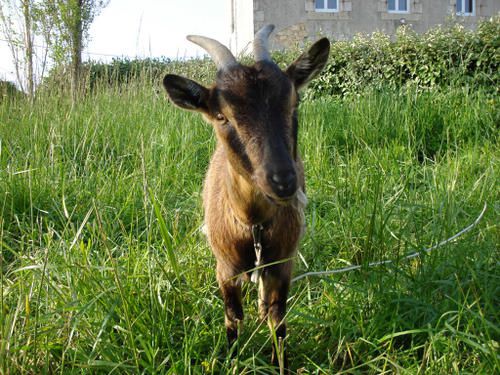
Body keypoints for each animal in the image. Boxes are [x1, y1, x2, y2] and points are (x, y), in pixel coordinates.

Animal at [162, 25, 330, 372]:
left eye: (293, 102)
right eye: (221, 116)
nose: (283, 181)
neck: (253, 224)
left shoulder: (283, 263)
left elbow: (279, 321)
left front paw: (280, 365)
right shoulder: (225, 269)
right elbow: (232, 317)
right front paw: (232, 359)